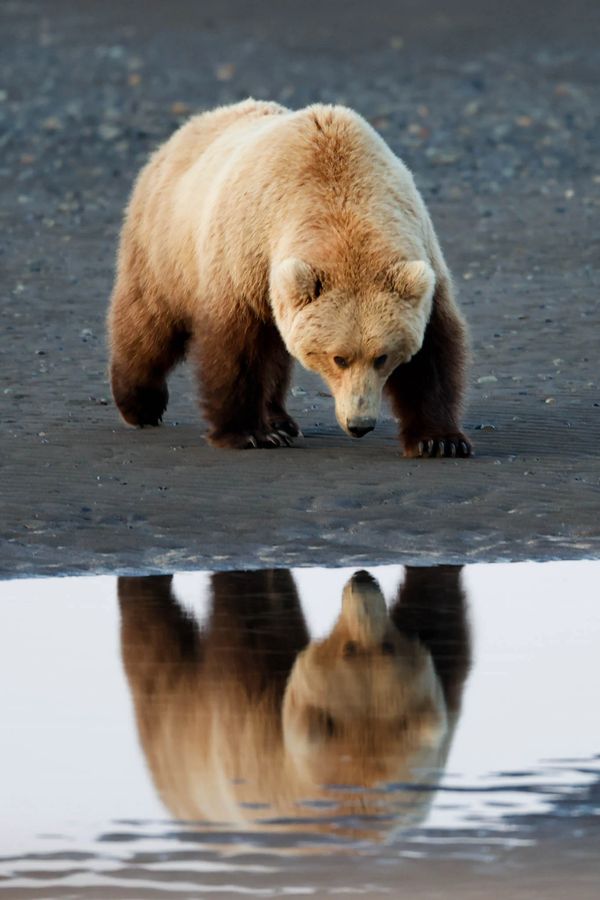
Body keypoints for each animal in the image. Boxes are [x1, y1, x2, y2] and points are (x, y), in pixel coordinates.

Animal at [108, 99, 472, 458]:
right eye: (339, 358)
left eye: (382, 356)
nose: (360, 424)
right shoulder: (245, 258)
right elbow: (236, 348)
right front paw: (248, 433)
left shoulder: (420, 253)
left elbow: (433, 353)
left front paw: (440, 440)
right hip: (166, 246)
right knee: (150, 323)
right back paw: (140, 402)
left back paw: (279, 419)